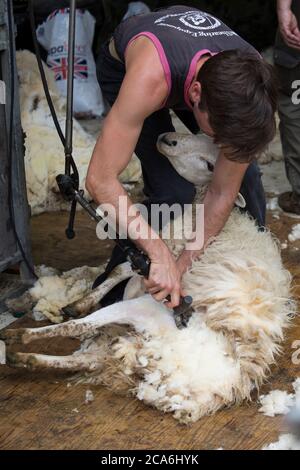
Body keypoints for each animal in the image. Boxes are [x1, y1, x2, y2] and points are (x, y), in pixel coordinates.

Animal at [1, 131, 294, 422]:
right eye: (200, 132)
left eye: (210, 165)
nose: (168, 138)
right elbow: (123, 269)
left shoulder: (168, 253)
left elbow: (123, 269)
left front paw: (81, 302)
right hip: (129, 342)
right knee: (91, 358)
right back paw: (23, 359)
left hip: (144, 311)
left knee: (79, 327)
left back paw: (18, 337)